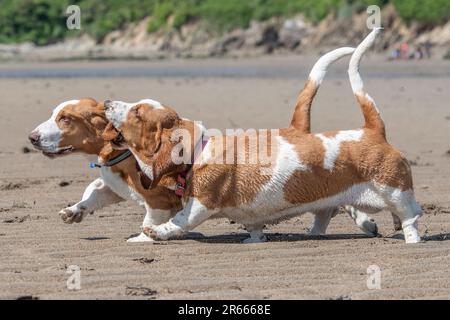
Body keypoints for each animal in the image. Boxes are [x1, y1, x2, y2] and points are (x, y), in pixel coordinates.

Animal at [103, 28, 420, 244]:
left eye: (138, 113)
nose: (106, 102)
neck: (198, 152)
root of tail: (373, 131)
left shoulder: (201, 205)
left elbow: (179, 222)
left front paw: (152, 232)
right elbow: (254, 227)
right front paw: (253, 239)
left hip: (395, 191)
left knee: (411, 216)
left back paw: (411, 239)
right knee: (326, 215)